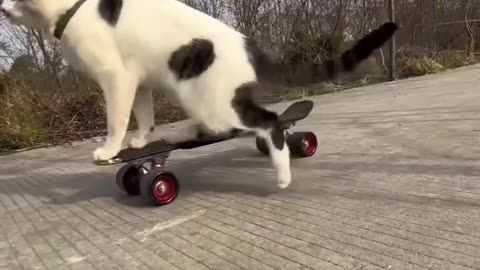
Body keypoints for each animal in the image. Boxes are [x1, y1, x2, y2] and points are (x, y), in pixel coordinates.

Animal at [0, 0, 398, 188]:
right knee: (228, 125)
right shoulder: (138, 77)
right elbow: (143, 114)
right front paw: (140, 141)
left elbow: (116, 118)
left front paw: (110, 150)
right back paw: (177, 134)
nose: (2, 8)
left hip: (206, 96)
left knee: (268, 122)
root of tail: (251, 46)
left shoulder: (116, 76)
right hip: (195, 94)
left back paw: (282, 172)